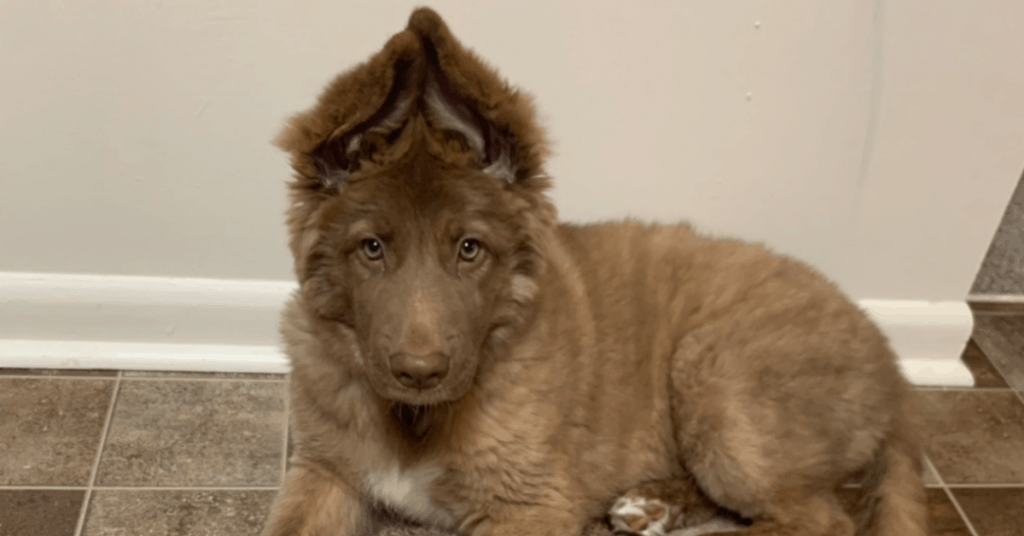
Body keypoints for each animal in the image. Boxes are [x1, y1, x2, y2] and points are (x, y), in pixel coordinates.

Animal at [264, 8, 929, 536]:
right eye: (372, 248)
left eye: (470, 249)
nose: (420, 373)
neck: (416, 421)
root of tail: (892, 370)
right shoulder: (324, 473)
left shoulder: (531, 503)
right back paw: (652, 503)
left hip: (717, 377)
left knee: (819, 518)